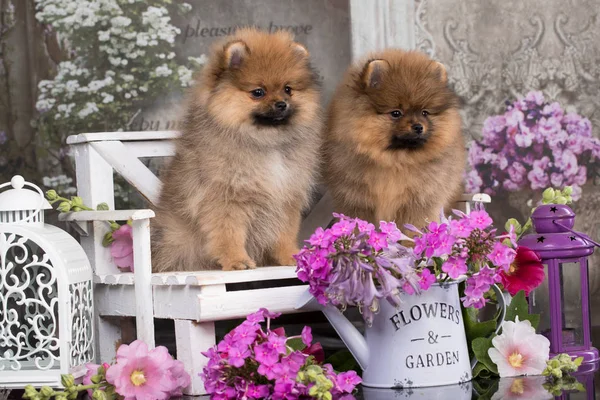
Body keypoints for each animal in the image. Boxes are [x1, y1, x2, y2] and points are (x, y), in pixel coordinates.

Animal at [154, 28, 324, 272]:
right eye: (258, 92)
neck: (266, 142)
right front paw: (236, 260)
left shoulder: (286, 197)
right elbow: (229, 234)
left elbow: (283, 233)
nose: (282, 104)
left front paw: (290, 255)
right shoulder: (226, 198)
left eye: (288, 89)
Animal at [326, 50, 466, 231]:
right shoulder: (356, 200)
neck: (396, 160)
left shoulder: (419, 201)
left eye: (425, 113)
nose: (418, 127)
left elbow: (414, 228)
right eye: (396, 113)